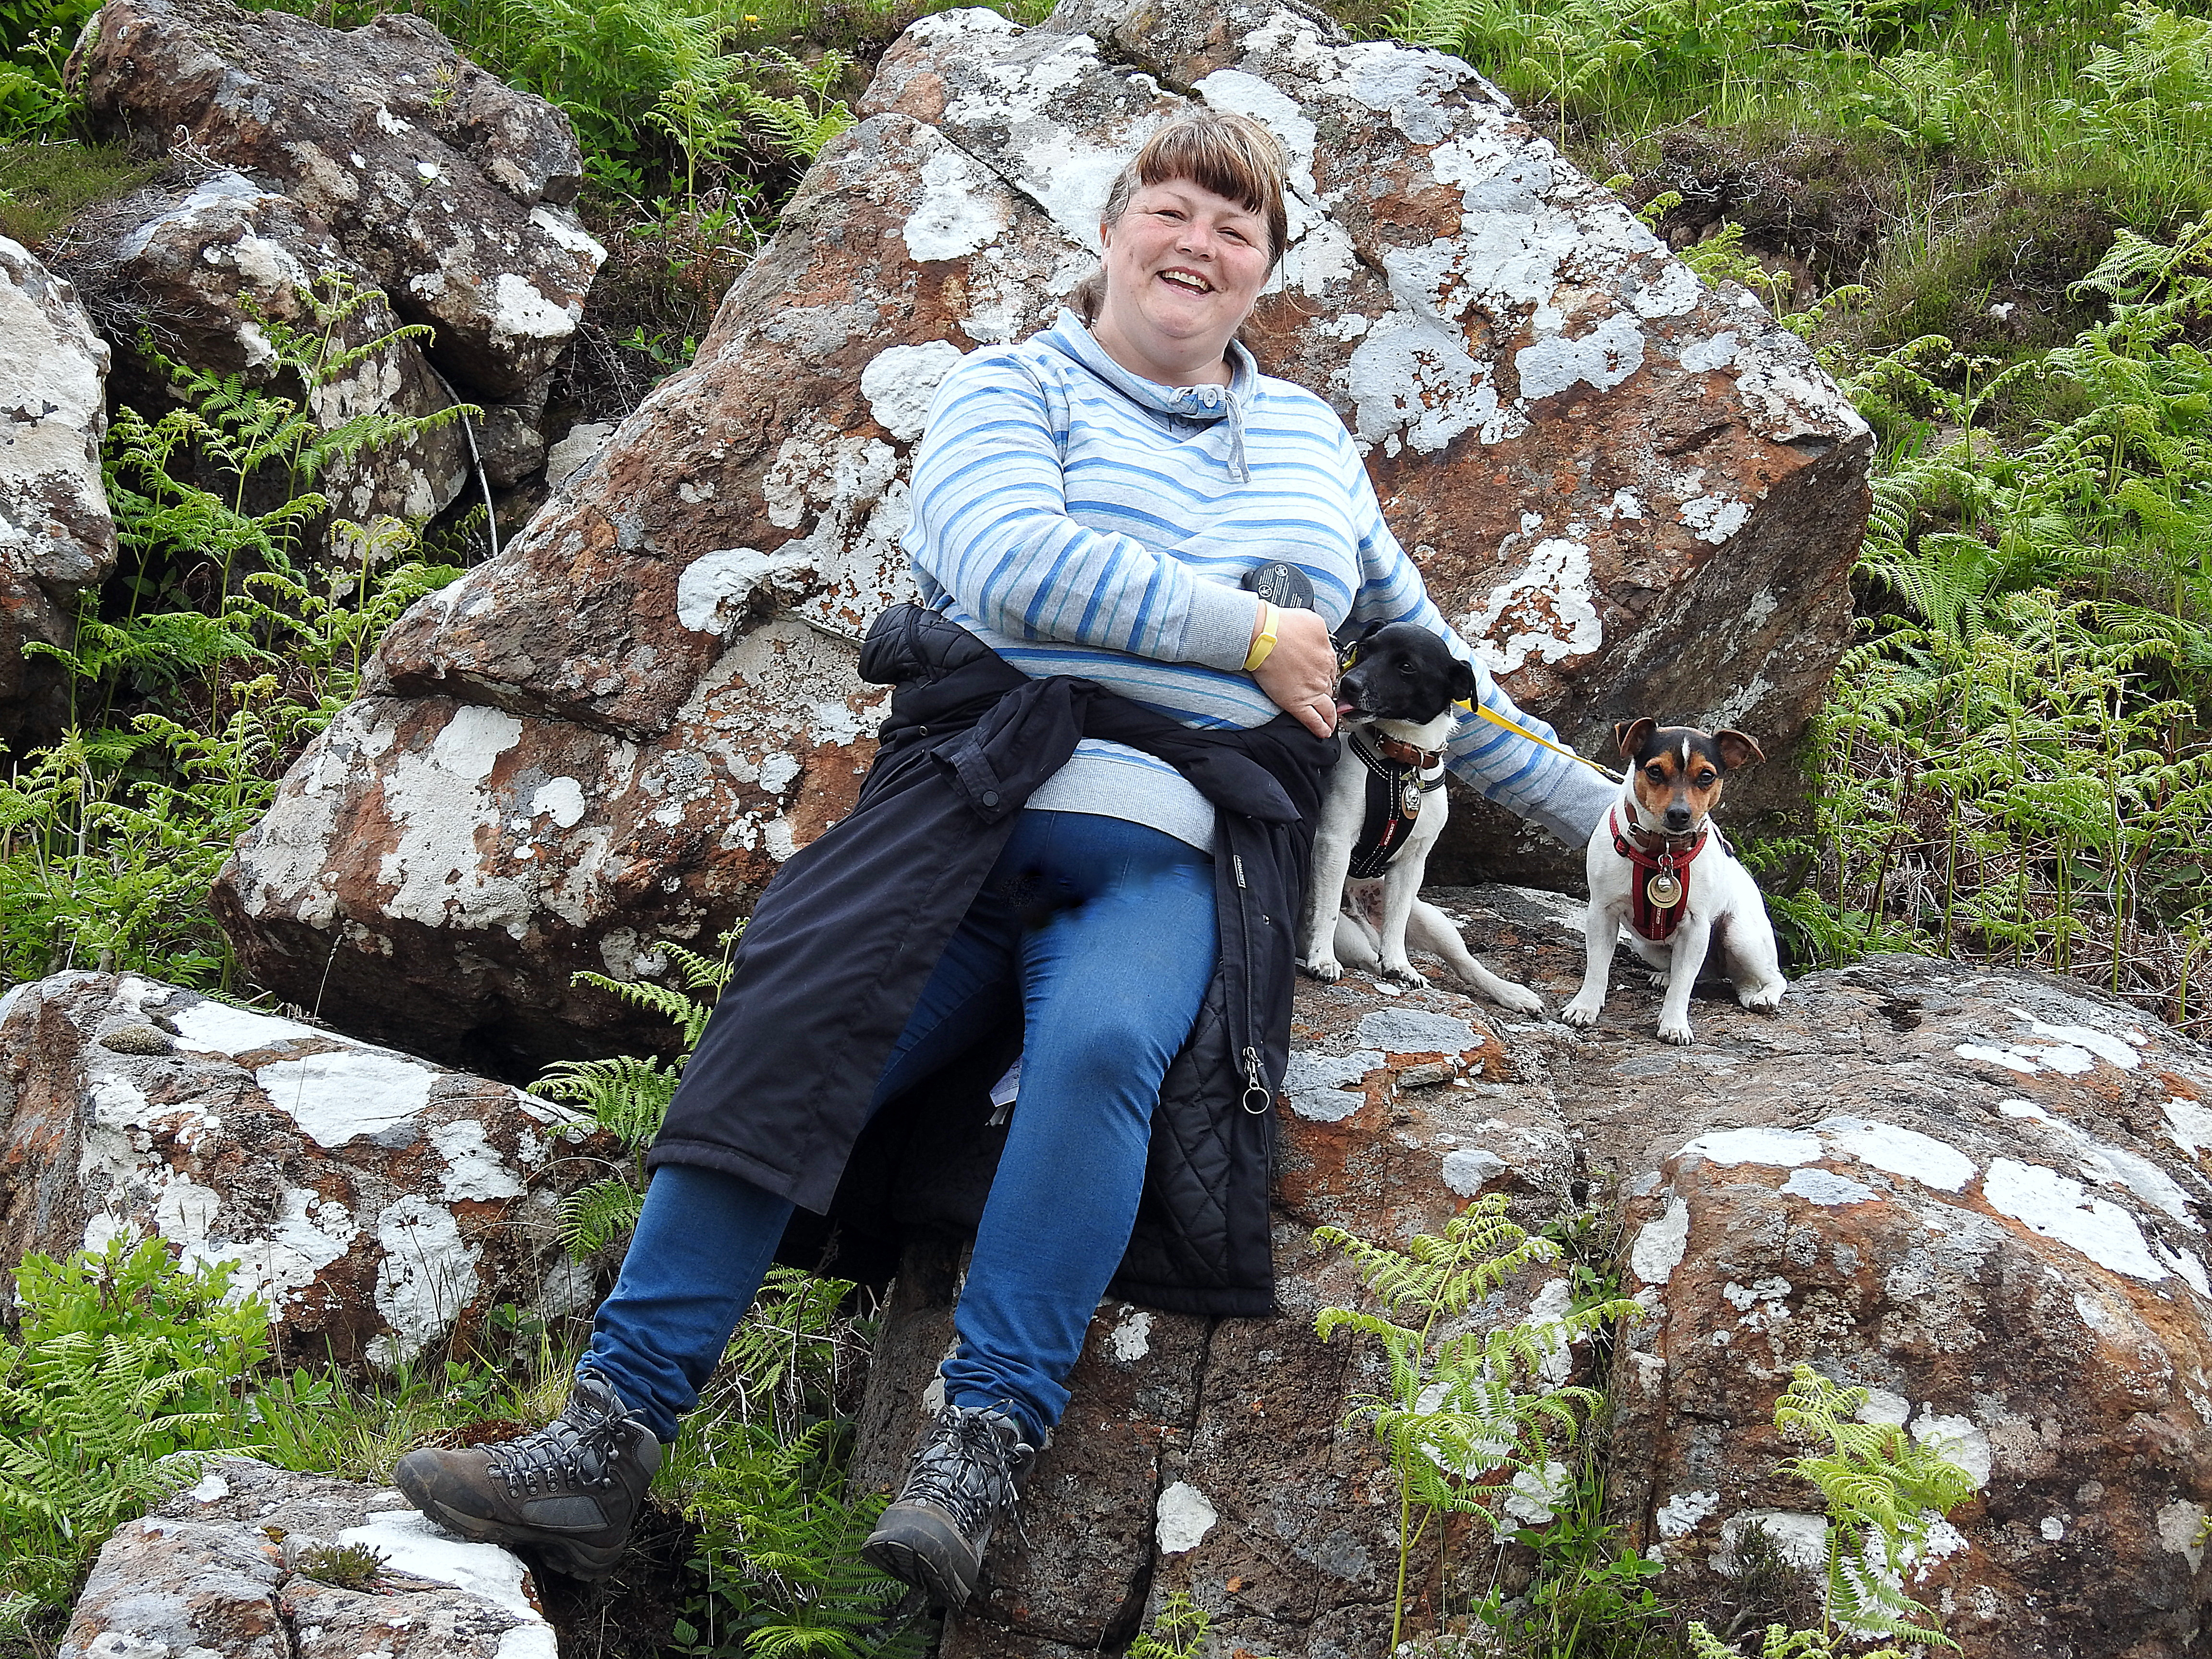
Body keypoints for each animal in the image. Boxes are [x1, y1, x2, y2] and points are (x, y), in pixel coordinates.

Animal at [1292, 619, 1539, 1013]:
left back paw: (1513, 993)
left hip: (1435, 923)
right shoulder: (1334, 843)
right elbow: (1326, 910)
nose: (1348, 684)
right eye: (1365, 650)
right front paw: (1322, 960)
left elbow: (1396, 926)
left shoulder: (1412, 865)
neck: (1400, 764)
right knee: (1363, 952)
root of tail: (1361, 913)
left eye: (1407, 667)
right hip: (1350, 937)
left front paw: (1400, 965)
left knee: (1463, 963)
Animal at [1566, 721, 1787, 1044]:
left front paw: (1674, 1024)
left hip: (1740, 936)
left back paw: (1764, 996)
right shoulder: (1601, 914)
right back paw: (1669, 976)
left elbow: (1684, 986)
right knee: (1706, 974)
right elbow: (1597, 967)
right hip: (1644, 944)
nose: (1679, 814)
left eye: (1707, 776)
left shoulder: (1695, 929)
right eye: (1655, 771)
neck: (1664, 850)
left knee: (1774, 978)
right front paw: (1585, 1006)